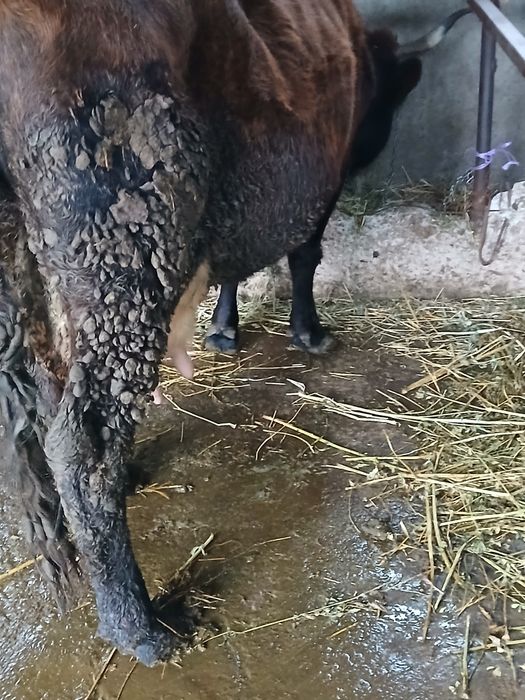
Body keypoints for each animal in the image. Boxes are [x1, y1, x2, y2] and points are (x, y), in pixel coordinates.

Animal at [0, 1, 468, 666]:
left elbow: (234, 270)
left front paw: (224, 330)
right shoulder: (318, 185)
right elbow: (304, 255)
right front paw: (309, 331)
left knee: (49, 392)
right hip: (121, 258)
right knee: (83, 444)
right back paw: (140, 626)